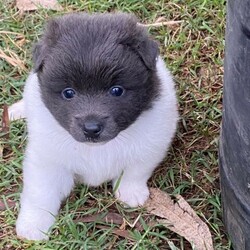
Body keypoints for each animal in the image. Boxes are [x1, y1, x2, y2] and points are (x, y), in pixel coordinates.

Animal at [8, 12, 179, 239]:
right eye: (68, 93)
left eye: (117, 90)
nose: (91, 128)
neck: (97, 149)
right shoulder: (46, 161)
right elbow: (41, 193)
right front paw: (33, 225)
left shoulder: (152, 145)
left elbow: (135, 171)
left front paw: (131, 193)